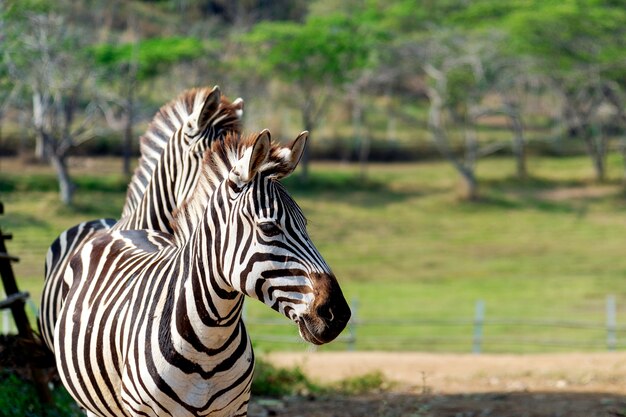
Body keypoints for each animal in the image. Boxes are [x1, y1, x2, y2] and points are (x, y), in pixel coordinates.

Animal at [53, 130, 348, 416]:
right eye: (268, 228)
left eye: (305, 225)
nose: (339, 314)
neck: (209, 346)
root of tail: (121, 230)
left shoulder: (235, 410)